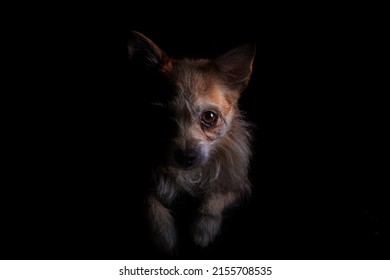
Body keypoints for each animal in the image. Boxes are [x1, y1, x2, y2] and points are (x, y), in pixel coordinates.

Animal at [128, 31, 256, 254]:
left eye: (209, 117)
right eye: (164, 117)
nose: (186, 157)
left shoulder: (238, 185)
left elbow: (217, 195)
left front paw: (203, 229)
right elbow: (148, 199)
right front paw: (163, 235)